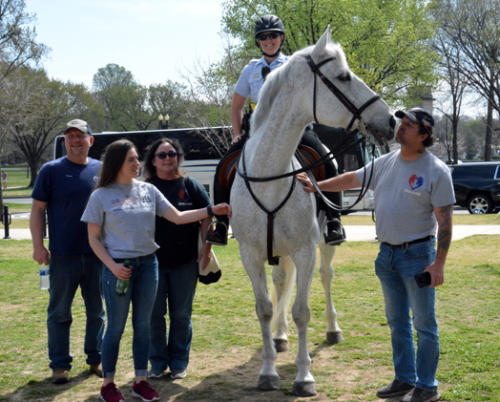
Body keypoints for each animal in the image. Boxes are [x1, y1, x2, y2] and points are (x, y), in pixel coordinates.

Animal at [229, 29, 394, 398]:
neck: (270, 176)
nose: (391, 119)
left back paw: (332, 329)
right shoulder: (250, 254)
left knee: (326, 275)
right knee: (280, 282)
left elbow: (302, 311)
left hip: (322, 245)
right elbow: (265, 308)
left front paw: (304, 377)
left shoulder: (305, 251)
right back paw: (279, 338)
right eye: (344, 77)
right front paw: (268, 372)